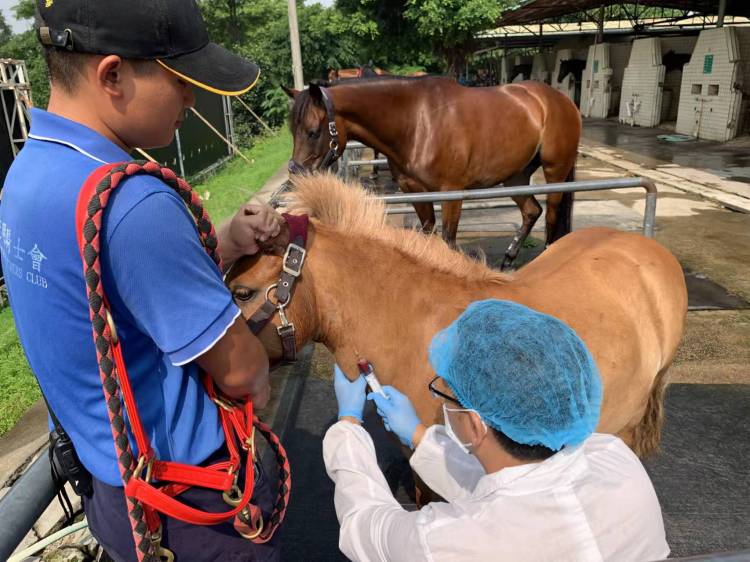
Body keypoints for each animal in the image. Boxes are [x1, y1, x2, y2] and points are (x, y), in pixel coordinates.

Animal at [284, 77, 584, 270]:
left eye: (313, 131)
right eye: (292, 131)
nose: (296, 173)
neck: (418, 122)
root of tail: (561, 99)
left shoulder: (452, 193)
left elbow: (448, 239)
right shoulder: (415, 191)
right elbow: (429, 235)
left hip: (555, 171)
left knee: (551, 215)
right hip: (515, 176)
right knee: (532, 211)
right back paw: (509, 259)